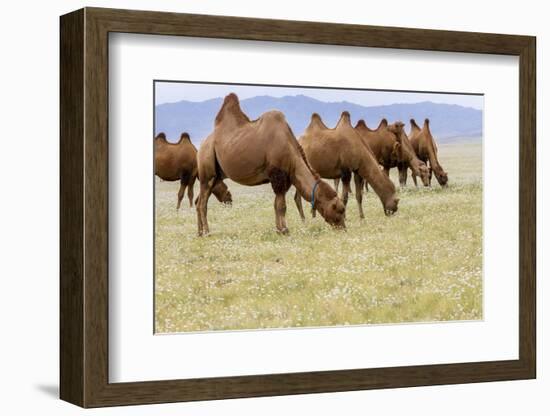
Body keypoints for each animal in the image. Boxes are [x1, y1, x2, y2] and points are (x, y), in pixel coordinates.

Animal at [197, 94, 344, 237]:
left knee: (199, 201)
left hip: (217, 176)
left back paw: (199, 232)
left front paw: (278, 230)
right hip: (207, 168)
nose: (343, 228)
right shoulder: (277, 176)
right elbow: (282, 206)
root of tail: (202, 145)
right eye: (338, 209)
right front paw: (285, 230)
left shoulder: (284, 178)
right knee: (202, 203)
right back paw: (207, 232)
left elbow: (276, 205)